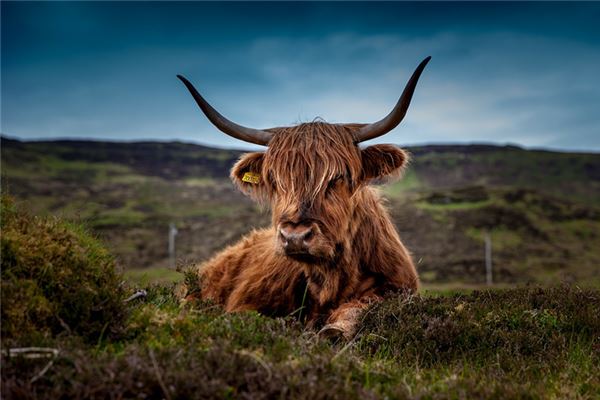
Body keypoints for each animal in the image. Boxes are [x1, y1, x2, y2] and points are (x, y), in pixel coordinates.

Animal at [178, 55, 432, 338]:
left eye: (338, 177)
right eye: (274, 179)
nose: (295, 237)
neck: (330, 280)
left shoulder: (396, 288)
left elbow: (360, 307)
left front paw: (334, 329)